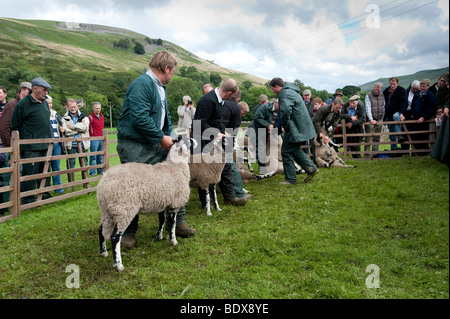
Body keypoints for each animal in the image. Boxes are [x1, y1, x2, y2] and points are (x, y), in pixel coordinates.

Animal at [97, 142, 191, 272]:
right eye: (187, 143)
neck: (175, 166)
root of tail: (104, 185)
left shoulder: (161, 202)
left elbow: (161, 220)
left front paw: (159, 236)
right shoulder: (174, 204)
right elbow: (172, 224)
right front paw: (173, 241)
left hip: (107, 211)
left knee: (101, 230)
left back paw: (103, 252)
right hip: (124, 209)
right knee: (115, 236)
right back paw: (119, 265)